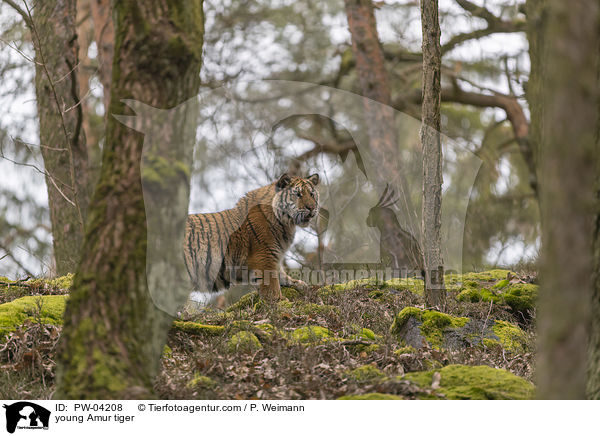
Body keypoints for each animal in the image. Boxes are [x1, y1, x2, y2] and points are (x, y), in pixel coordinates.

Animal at [185, 172, 322, 302]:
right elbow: (271, 283)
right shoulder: (264, 256)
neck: (286, 223)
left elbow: (281, 275)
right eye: (298, 194)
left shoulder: (274, 255)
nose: (311, 208)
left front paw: (301, 285)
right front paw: (279, 300)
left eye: (312, 194)